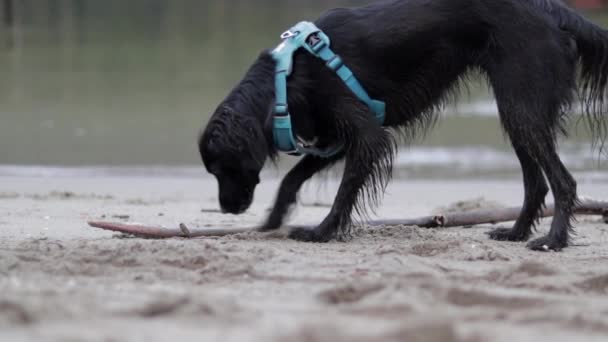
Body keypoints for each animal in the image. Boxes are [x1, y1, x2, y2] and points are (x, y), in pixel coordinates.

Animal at [197, 0, 604, 251]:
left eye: (222, 168)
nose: (227, 210)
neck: (287, 78)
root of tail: (552, 10)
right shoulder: (336, 138)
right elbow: (291, 179)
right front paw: (273, 219)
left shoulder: (367, 136)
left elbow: (344, 191)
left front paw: (323, 231)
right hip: (519, 111)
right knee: (537, 183)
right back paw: (516, 232)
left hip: (521, 107)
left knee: (563, 182)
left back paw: (552, 241)